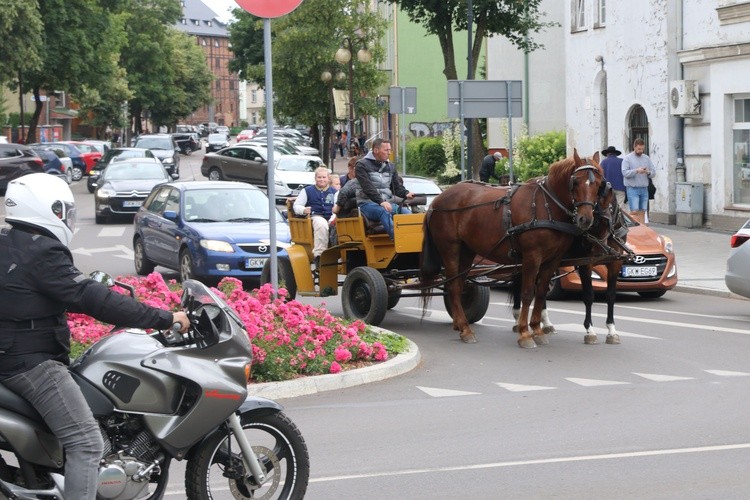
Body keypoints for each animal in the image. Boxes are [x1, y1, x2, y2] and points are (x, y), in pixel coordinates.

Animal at [424, 149, 604, 348]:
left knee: (459, 284)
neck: (546, 205)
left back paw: (459, 324)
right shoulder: (532, 257)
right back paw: (465, 328)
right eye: (576, 181)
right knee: (453, 286)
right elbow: (527, 293)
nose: (585, 219)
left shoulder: (552, 260)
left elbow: (541, 293)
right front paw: (525, 333)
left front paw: (537, 329)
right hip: (450, 250)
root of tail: (436, 201)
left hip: (467, 252)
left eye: (599, 184)